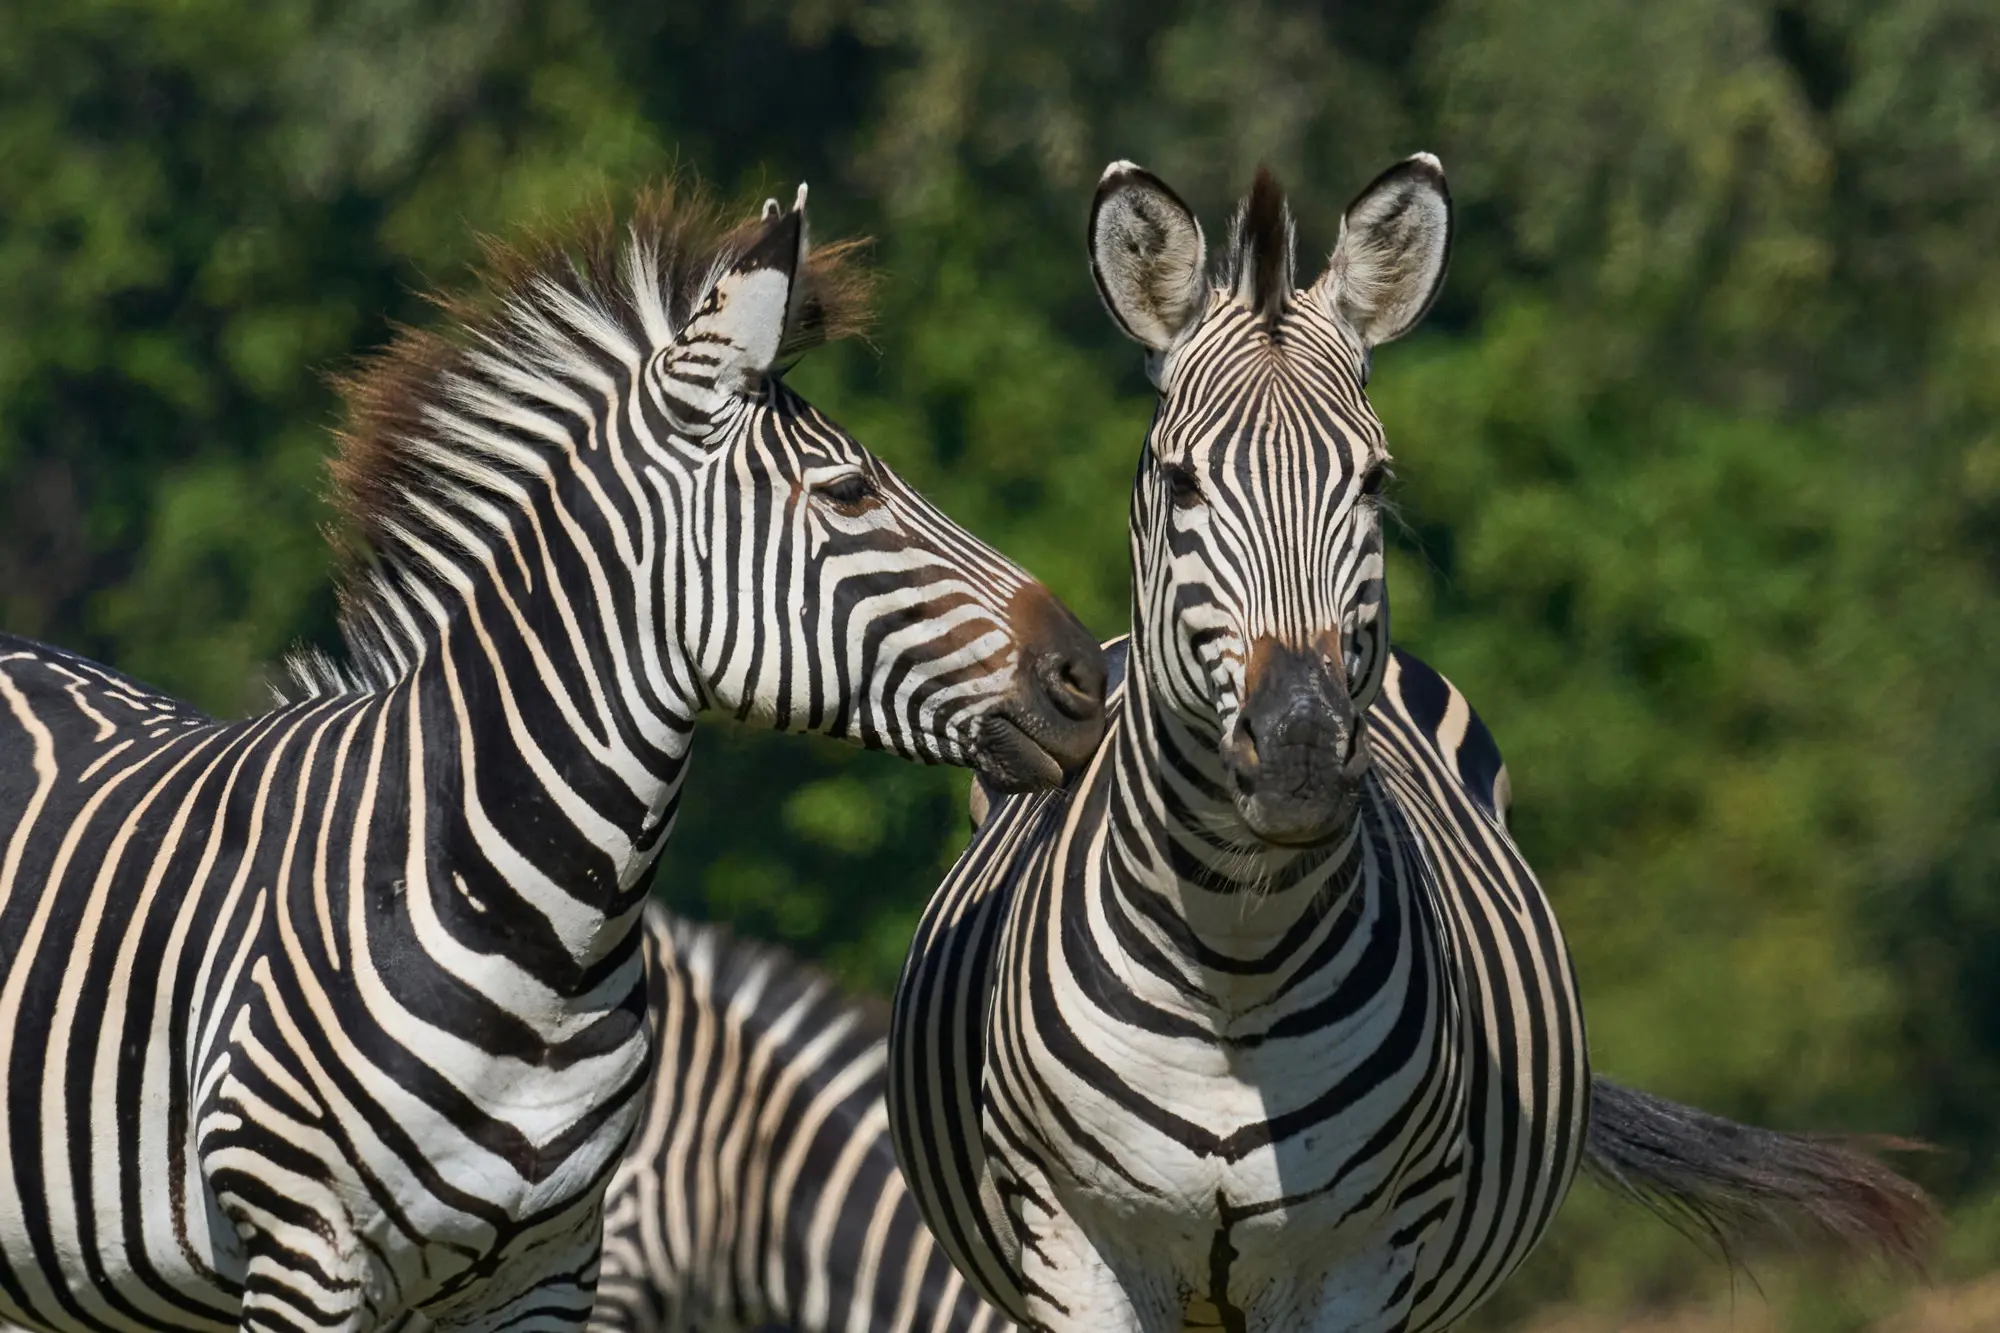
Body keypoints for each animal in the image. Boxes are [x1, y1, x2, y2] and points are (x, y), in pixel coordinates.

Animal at [887, 158, 1930, 1333]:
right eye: (1180, 479)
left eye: (1374, 480)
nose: (1300, 754)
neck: (1233, 954)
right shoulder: (1070, 1244)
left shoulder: (1363, 1261)